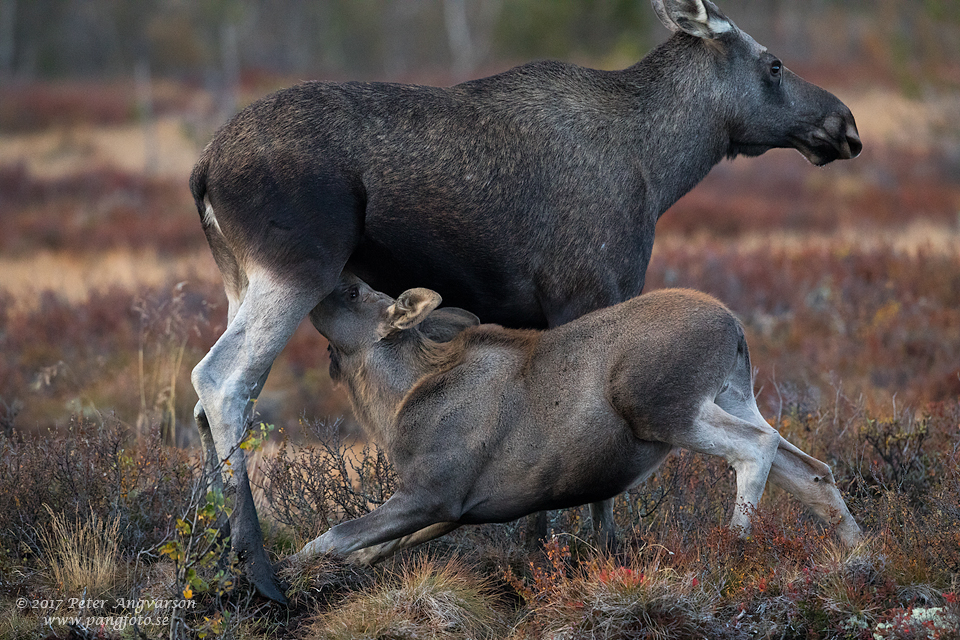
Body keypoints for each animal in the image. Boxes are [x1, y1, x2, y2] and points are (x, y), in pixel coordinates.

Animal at [294, 272, 864, 564]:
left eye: (352, 291)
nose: (326, 274)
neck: (391, 404)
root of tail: (737, 328)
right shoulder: (459, 510)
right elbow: (369, 550)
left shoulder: (434, 492)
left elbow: (334, 537)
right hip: (733, 394)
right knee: (812, 468)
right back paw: (862, 554)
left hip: (661, 408)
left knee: (755, 448)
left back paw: (735, 544)